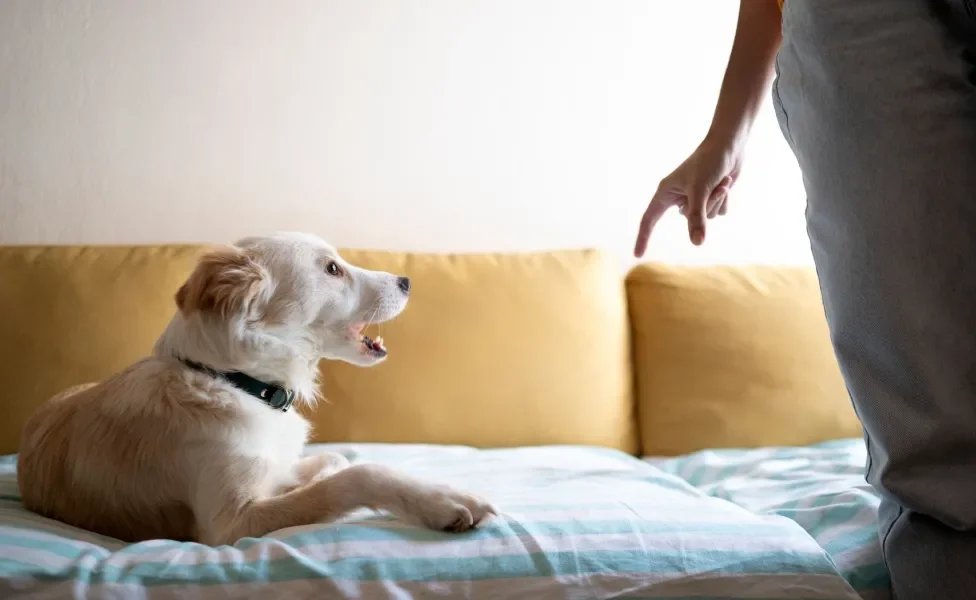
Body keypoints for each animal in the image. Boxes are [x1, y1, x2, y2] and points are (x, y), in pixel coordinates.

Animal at [17, 232, 496, 548]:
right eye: (332, 268)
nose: (407, 281)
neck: (237, 383)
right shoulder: (227, 526)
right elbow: (356, 475)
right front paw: (441, 500)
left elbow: (335, 462)